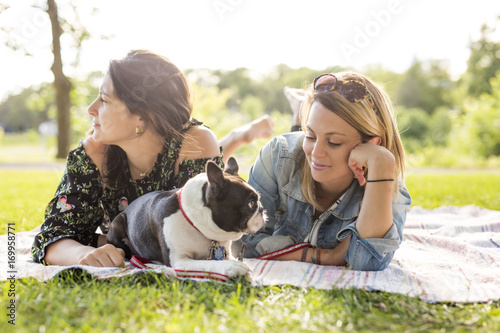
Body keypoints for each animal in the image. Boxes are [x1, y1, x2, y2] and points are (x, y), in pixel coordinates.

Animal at [108, 157, 268, 276]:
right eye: (251, 203)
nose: (262, 209)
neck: (195, 225)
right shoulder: (179, 260)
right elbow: (208, 263)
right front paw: (233, 267)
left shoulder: (226, 252)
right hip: (118, 223)